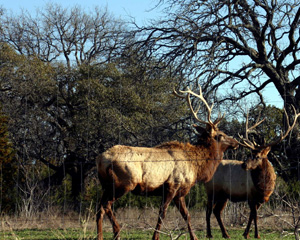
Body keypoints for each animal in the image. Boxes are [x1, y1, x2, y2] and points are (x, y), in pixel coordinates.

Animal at [96, 86, 239, 240]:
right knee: (106, 205)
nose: (236, 142)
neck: (195, 166)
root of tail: (100, 160)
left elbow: (186, 215)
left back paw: (101, 236)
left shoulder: (180, 192)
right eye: (220, 135)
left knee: (100, 208)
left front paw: (194, 237)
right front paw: (155, 237)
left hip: (106, 186)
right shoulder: (172, 185)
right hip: (123, 183)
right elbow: (162, 213)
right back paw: (117, 232)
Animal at [204, 108, 300, 239]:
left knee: (217, 211)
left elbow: (252, 215)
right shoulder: (251, 196)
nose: (244, 165)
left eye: (257, 156)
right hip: (212, 191)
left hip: (223, 195)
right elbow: (255, 216)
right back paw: (209, 234)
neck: (264, 187)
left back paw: (225, 234)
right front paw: (256, 234)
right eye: (250, 154)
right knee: (208, 210)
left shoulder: (261, 199)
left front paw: (246, 233)